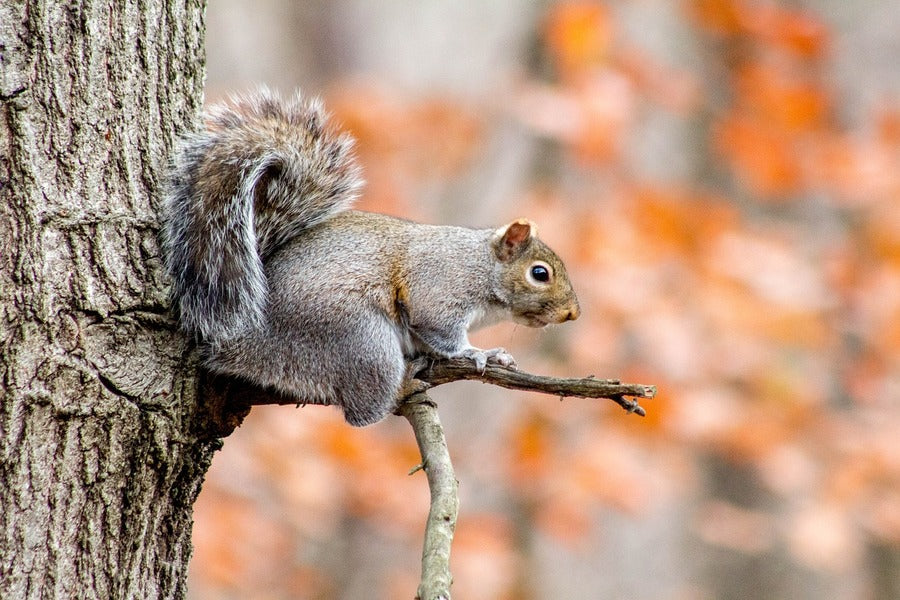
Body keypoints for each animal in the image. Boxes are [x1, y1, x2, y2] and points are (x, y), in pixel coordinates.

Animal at [160, 89, 584, 426]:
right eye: (540, 273)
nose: (572, 313)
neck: (480, 265)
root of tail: (238, 345)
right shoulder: (440, 286)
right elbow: (440, 327)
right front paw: (478, 353)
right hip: (360, 340)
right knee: (362, 413)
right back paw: (404, 387)